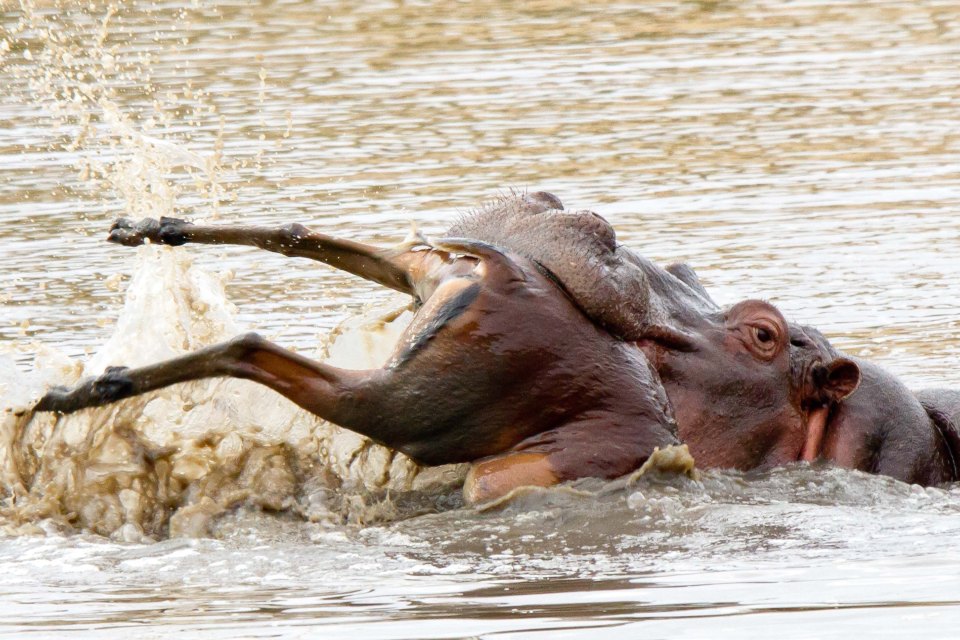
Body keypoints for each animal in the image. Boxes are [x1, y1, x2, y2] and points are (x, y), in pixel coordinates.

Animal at [35, 192, 864, 502]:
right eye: (761, 332)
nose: (576, 222)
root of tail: (499, 269)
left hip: (412, 320)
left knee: (292, 252)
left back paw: (144, 240)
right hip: (402, 396)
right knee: (254, 337)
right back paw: (84, 383)